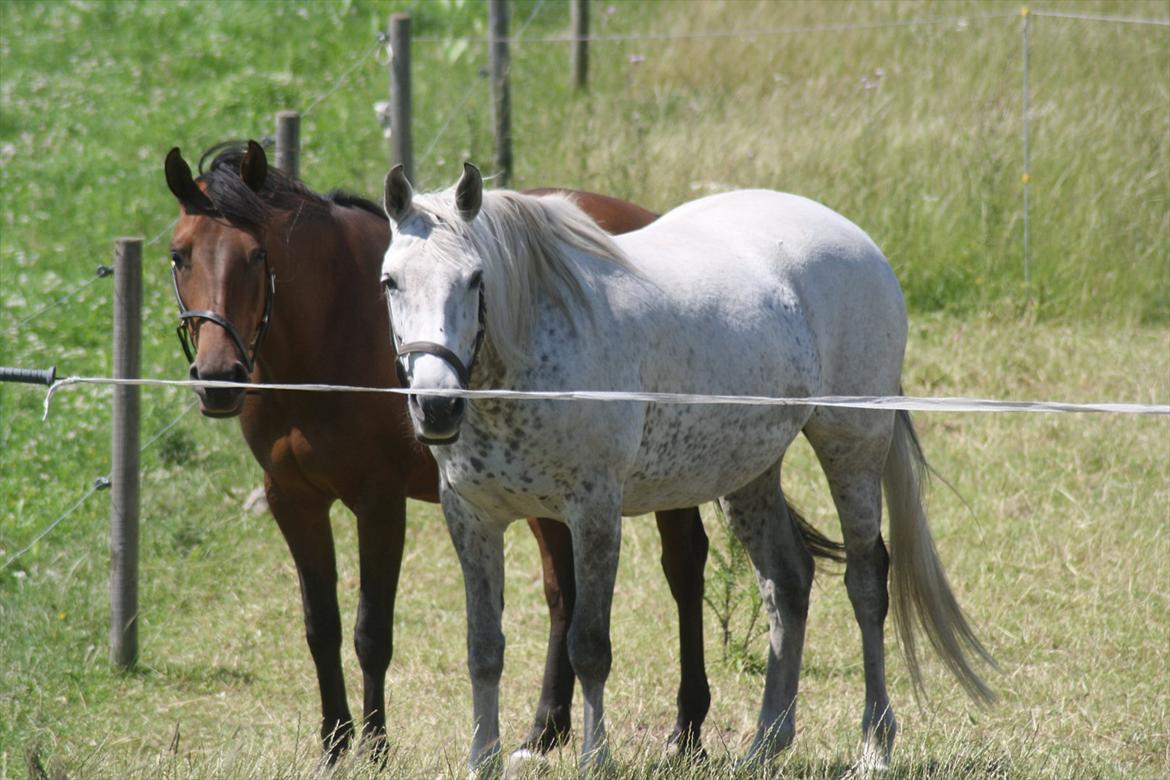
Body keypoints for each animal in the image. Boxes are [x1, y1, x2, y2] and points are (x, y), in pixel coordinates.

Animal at [162, 142, 842, 762]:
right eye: (179, 255)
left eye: (256, 255)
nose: (218, 379)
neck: (332, 334)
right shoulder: (293, 499)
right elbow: (320, 626)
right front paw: (334, 742)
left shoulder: (379, 502)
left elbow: (371, 631)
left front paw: (375, 746)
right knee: (566, 594)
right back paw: (546, 731)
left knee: (683, 570)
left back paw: (686, 729)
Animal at [379, 164, 992, 776]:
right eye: (390, 282)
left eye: (475, 278)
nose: (436, 407)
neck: (535, 348)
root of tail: (860, 242)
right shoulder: (473, 518)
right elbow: (484, 649)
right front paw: (482, 759)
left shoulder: (594, 512)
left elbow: (589, 647)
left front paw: (595, 759)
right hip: (750, 474)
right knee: (788, 582)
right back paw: (766, 742)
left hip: (852, 445)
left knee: (866, 581)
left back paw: (874, 745)